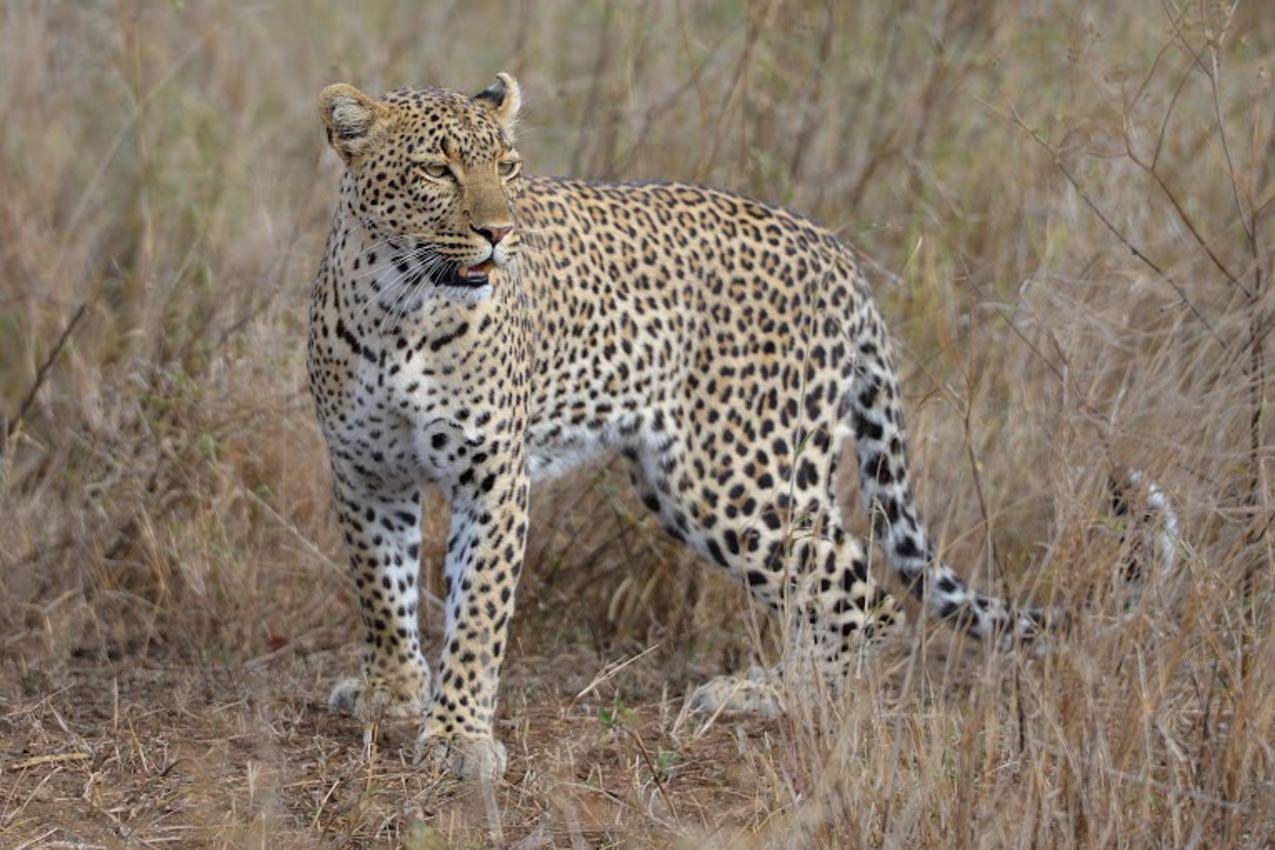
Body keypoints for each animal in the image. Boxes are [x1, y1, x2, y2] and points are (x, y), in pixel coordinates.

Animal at [306, 73, 1173, 779]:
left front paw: (458, 737)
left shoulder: (492, 475)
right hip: (693, 478)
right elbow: (380, 588)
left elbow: (478, 611)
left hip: (732, 471)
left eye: (507, 169)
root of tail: (837, 251)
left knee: (861, 590)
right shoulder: (361, 469)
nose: (498, 232)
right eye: (436, 170)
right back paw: (773, 686)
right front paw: (392, 692)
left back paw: (783, 696)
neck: (402, 308)